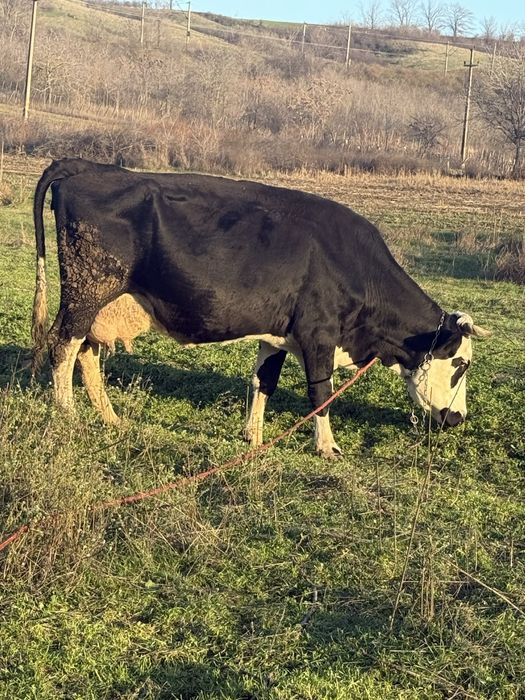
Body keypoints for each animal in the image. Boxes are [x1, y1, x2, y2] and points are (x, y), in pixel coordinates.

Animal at [31, 158, 489, 457]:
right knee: (62, 347)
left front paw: (253, 436)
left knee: (86, 354)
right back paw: (68, 414)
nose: (458, 419)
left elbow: (262, 382)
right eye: (461, 364)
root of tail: (87, 166)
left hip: (103, 303)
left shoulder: (277, 334)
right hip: (86, 290)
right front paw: (326, 446)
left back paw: (110, 418)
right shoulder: (317, 334)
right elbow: (320, 393)